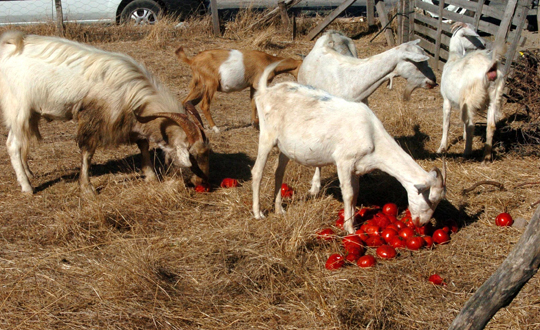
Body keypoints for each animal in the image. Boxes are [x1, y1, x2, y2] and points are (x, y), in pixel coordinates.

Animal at [0, 30, 210, 193]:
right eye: (192, 156)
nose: (203, 184)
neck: (130, 89)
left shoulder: (131, 118)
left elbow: (143, 144)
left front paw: (150, 176)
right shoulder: (94, 117)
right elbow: (87, 151)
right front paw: (87, 188)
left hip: (31, 113)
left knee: (23, 142)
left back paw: (29, 173)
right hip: (18, 108)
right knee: (13, 144)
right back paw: (27, 187)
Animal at [251, 62, 446, 235]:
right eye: (431, 199)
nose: (422, 223)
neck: (372, 135)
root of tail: (265, 91)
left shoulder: (358, 167)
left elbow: (356, 193)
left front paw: (353, 220)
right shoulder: (344, 161)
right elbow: (349, 193)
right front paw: (350, 229)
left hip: (284, 147)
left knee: (278, 172)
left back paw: (279, 209)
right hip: (266, 136)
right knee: (257, 172)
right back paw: (258, 213)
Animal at [436, 21, 504, 161]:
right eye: (472, 36)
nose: (484, 44)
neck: (455, 56)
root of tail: (490, 69)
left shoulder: (446, 99)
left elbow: (446, 123)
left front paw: (442, 147)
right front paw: (463, 137)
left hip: (471, 98)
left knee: (471, 125)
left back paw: (467, 152)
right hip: (494, 97)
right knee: (490, 125)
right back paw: (487, 156)